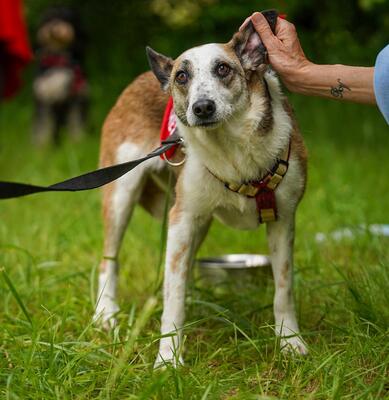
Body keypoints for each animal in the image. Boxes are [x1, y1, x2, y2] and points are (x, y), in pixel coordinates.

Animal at [31, 7, 88, 145]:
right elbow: (43, 125)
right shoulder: (44, 97)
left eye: (65, 17)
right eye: (47, 18)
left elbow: (75, 120)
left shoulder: (76, 97)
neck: (57, 59)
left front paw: (77, 141)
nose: (53, 26)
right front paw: (41, 146)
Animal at [94, 17, 306, 368]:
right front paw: (168, 358)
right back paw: (105, 314)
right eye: (183, 76)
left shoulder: (283, 219)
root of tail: (141, 80)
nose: (202, 108)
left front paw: (290, 341)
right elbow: (173, 298)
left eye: (223, 68)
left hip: (201, 220)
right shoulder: (181, 219)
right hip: (121, 193)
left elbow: (284, 288)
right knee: (108, 260)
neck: (233, 153)